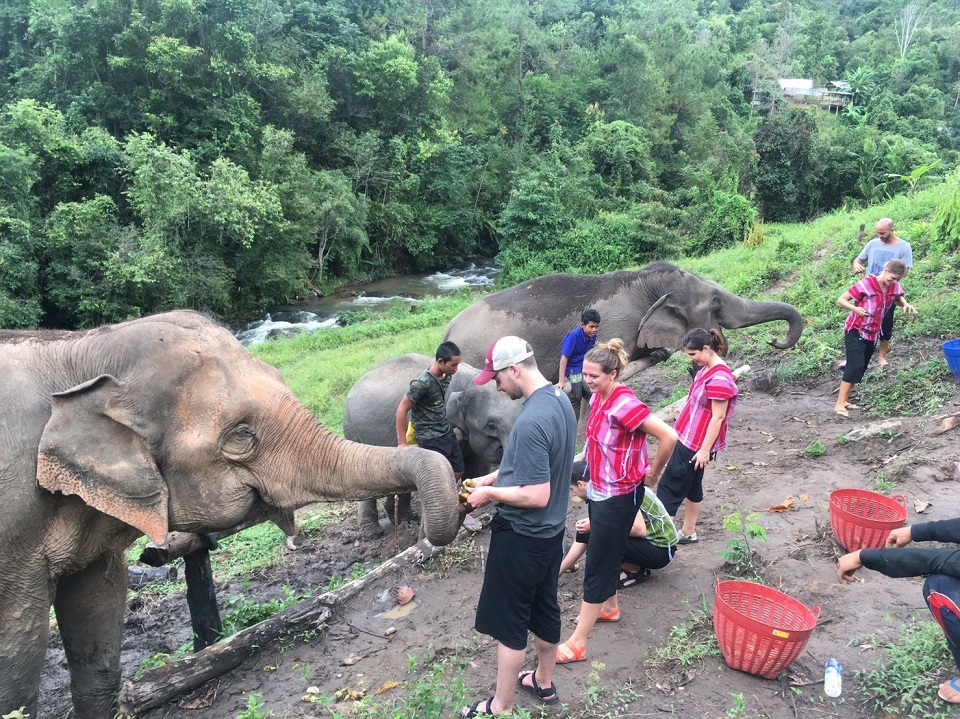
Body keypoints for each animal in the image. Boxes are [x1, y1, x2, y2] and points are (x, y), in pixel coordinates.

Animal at [342, 356, 520, 536]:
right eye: (491, 426)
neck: (470, 379)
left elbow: (476, 469)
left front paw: (471, 520)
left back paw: (403, 520)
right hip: (352, 430)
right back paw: (373, 532)